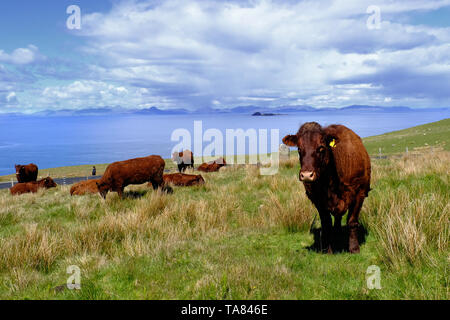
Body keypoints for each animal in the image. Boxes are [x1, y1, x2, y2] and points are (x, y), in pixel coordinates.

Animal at [284, 122, 370, 255]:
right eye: (299, 149)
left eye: (321, 148)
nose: (307, 175)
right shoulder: (318, 200)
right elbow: (327, 223)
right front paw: (328, 249)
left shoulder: (359, 194)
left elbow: (352, 221)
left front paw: (354, 248)